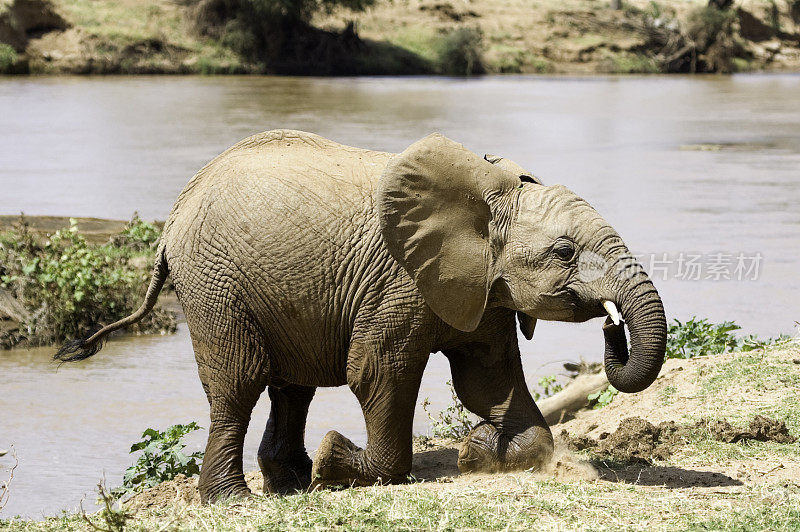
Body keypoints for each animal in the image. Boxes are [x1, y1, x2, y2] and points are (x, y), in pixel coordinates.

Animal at [56, 129, 664, 502]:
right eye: (564, 252)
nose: (612, 326)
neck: (487, 196)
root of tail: (173, 218)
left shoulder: (477, 286)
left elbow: (489, 379)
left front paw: (476, 453)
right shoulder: (400, 281)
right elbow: (379, 372)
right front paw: (339, 464)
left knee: (291, 387)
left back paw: (290, 482)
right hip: (212, 284)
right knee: (238, 384)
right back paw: (234, 500)